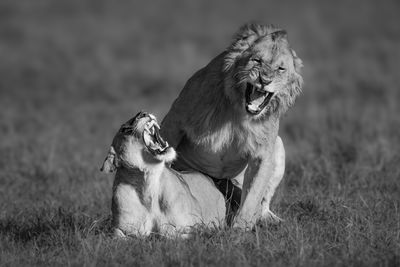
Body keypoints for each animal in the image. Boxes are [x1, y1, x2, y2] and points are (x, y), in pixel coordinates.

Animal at [161, 23, 302, 229]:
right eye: (257, 60)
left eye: (281, 68)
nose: (265, 80)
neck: (239, 112)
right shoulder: (175, 120)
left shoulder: (263, 153)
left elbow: (253, 195)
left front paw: (239, 229)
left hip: (278, 145)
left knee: (263, 201)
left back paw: (269, 218)